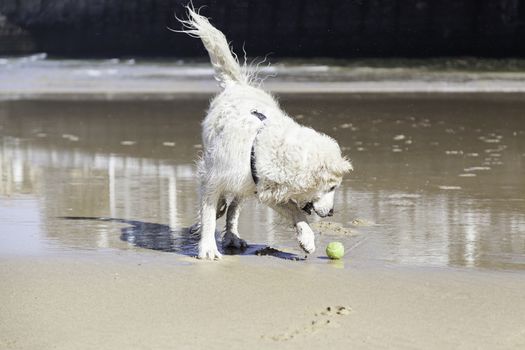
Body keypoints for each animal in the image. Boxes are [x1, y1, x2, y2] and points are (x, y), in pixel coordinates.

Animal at [178, 7, 354, 260]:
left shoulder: (265, 189)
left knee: (233, 209)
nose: (331, 212)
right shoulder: (212, 177)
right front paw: (208, 248)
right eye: (332, 188)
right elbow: (209, 214)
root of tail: (238, 85)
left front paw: (307, 239)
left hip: (244, 187)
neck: (261, 146)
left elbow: (295, 211)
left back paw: (232, 236)